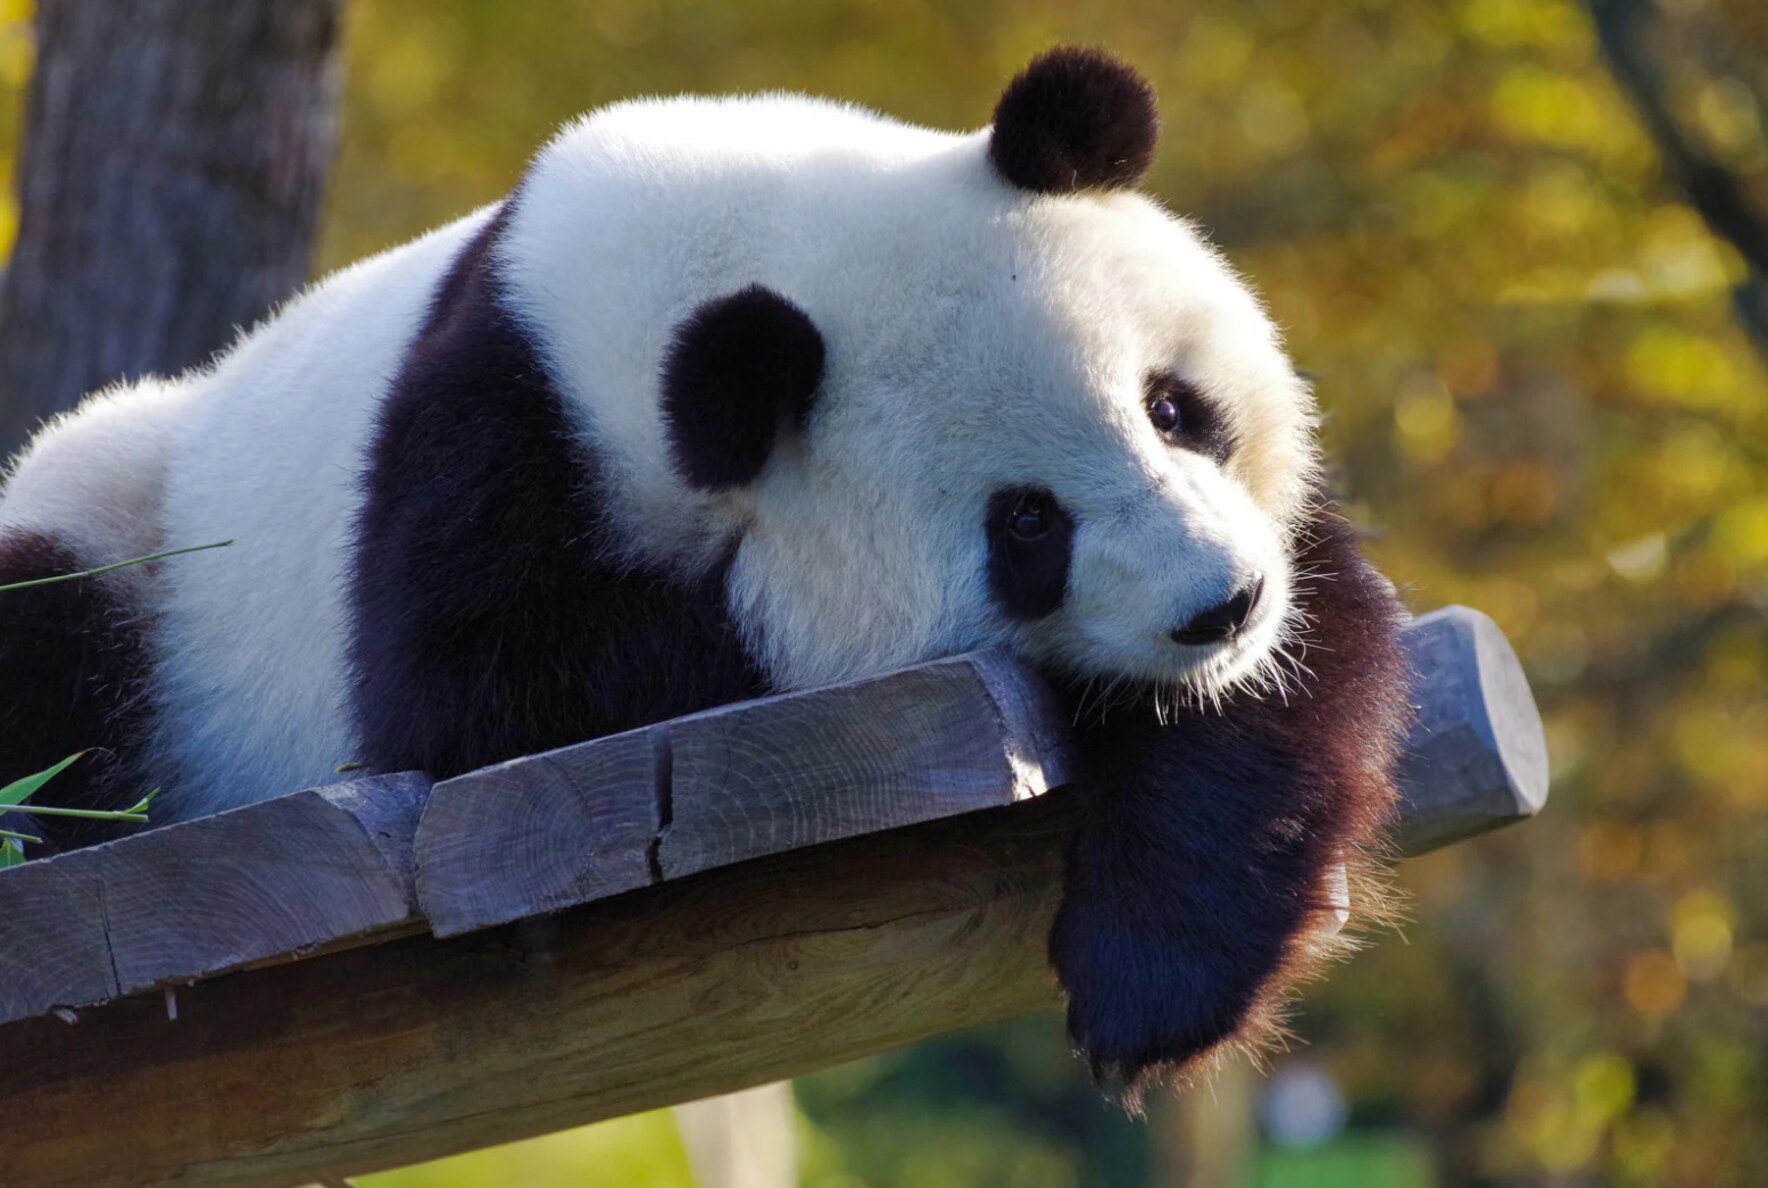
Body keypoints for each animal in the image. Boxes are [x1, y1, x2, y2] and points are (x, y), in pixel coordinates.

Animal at [0, 48, 1409, 1099]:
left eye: (1173, 407)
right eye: (1025, 526)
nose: (1218, 605)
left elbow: (1305, 651)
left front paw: (1152, 983)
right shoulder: (485, 453)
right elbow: (482, 702)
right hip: (129, 532)